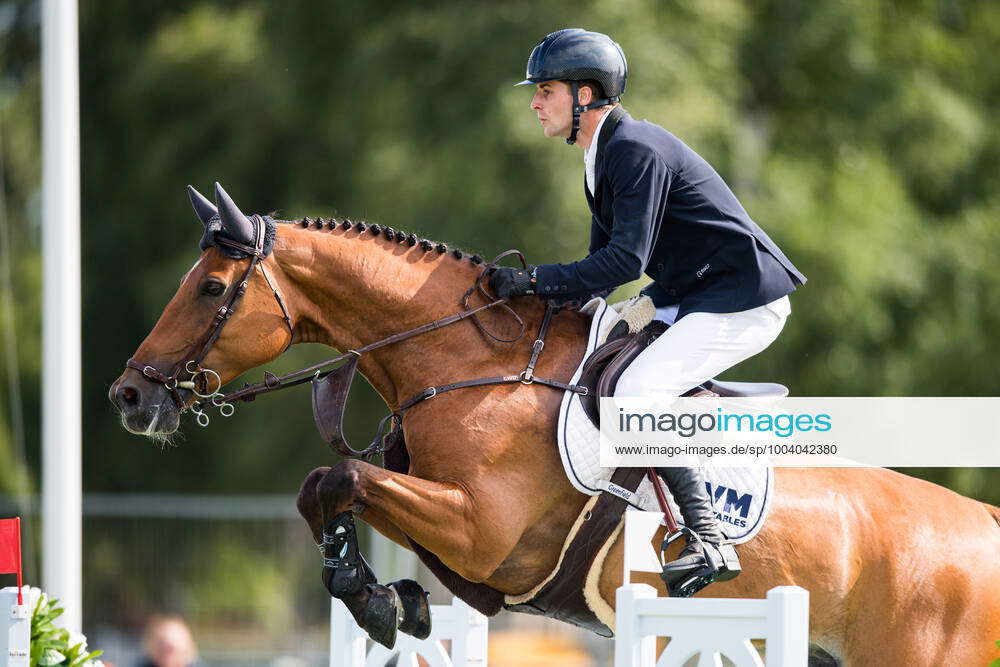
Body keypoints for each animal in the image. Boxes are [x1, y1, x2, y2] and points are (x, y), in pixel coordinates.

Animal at [110, 184, 1000, 665]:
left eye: (210, 286)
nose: (127, 396)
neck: (471, 364)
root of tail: (983, 522)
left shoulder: (485, 529)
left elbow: (342, 476)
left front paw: (376, 599)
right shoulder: (463, 538)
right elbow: (328, 489)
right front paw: (389, 597)